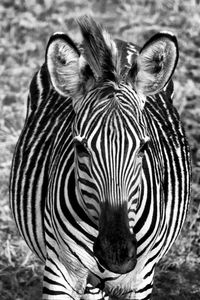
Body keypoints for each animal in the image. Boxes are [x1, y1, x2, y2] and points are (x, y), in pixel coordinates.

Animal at [9, 15, 191, 300]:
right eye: (80, 148)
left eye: (143, 147)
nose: (116, 254)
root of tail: (115, 42)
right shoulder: (59, 272)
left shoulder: (141, 279)